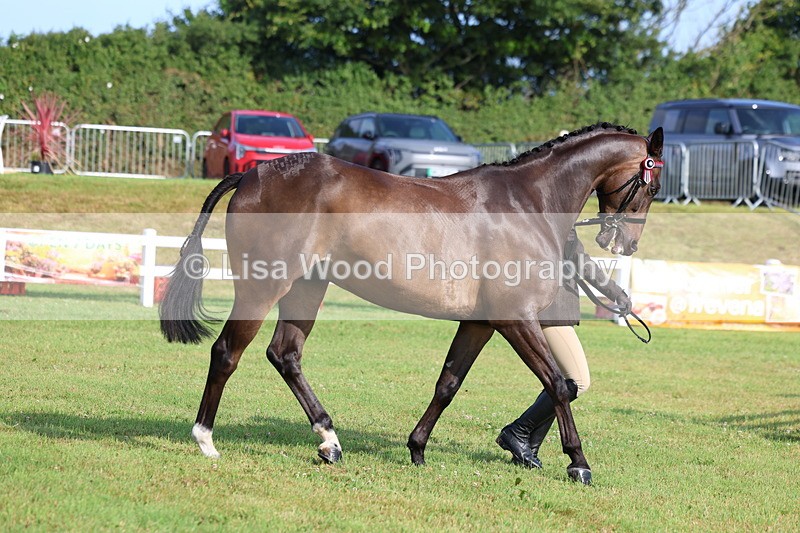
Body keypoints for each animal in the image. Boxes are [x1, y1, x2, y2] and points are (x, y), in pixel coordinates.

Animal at [160, 122, 664, 485]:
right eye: (652, 186)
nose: (624, 244)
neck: (528, 204)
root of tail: (251, 174)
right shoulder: (515, 318)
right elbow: (559, 384)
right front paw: (578, 463)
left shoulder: (481, 322)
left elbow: (448, 383)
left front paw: (418, 449)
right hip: (264, 287)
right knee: (227, 352)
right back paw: (206, 440)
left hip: (306, 287)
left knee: (284, 354)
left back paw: (329, 441)